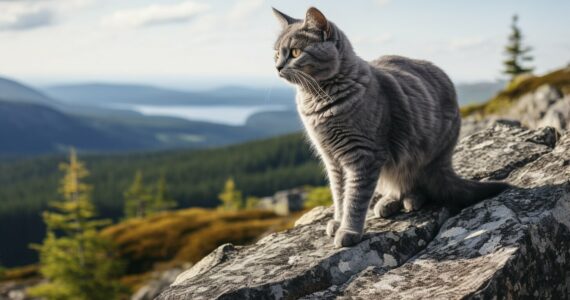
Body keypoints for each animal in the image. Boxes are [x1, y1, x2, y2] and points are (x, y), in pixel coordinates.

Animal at [270, 7, 510, 247]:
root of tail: (446, 162)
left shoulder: (363, 156)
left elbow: (354, 199)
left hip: (419, 156)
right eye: (276, 54)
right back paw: (388, 202)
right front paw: (338, 222)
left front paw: (348, 231)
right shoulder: (332, 160)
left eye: (295, 52)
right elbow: (339, 195)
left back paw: (410, 200)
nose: (277, 66)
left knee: (418, 185)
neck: (319, 101)